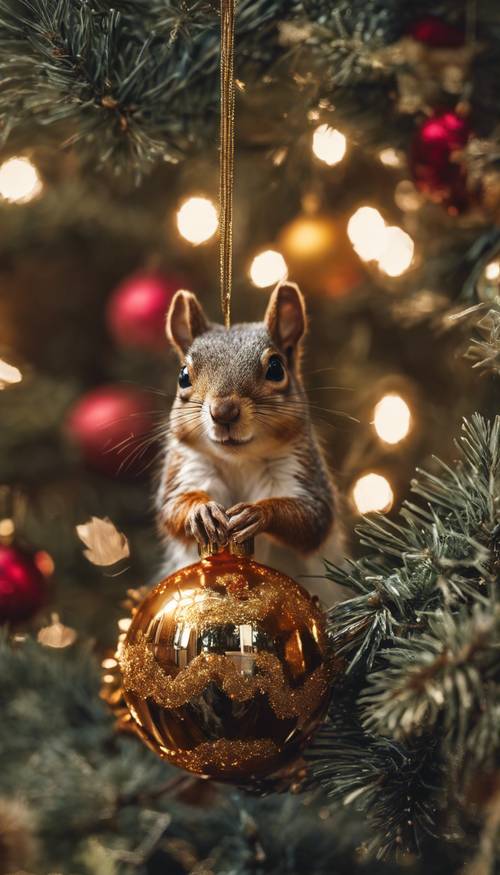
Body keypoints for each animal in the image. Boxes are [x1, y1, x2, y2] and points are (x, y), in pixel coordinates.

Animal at [156, 284, 344, 604]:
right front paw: (201, 511)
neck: (239, 460)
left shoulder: (300, 469)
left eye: (276, 369)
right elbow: (172, 509)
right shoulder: (190, 465)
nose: (223, 412)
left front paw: (258, 513)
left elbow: (311, 518)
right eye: (183, 375)